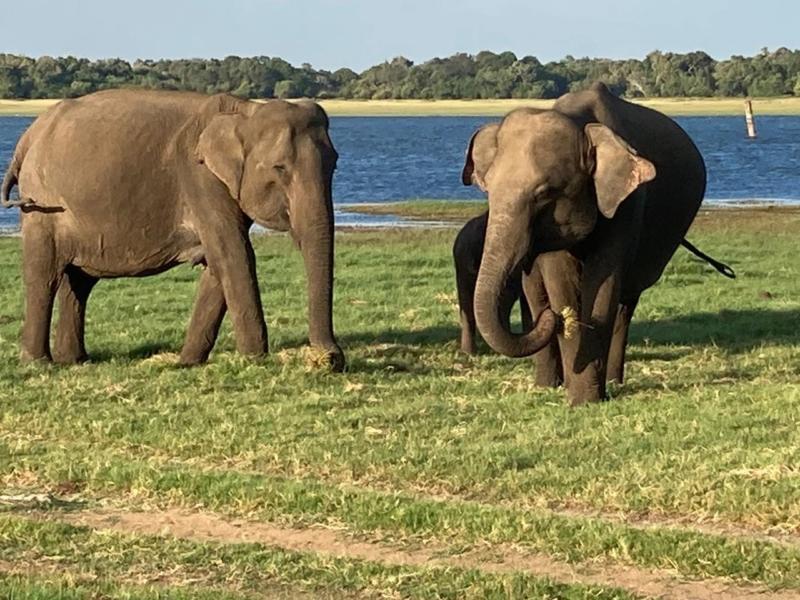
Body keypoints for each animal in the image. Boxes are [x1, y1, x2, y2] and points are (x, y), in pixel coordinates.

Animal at [0, 89, 344, 370]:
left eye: (335, 165)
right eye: (279, 168)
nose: (330, 359)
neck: (246, 111)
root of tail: (28, 137)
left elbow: (218, 261)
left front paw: (187, 362)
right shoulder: (199, 175)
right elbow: (234, 252)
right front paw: (255, 358)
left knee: (79, 281)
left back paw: (75, 360)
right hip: (43, 204)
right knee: (44, 274)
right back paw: (39, 363)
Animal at [462, 82, 732, 406]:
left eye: (545, 193)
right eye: (487, 189)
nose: (554, 319)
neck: (581, 125)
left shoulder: (627, 203)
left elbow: (603, 284)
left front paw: (585, 399)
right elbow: (560, 282)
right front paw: (578, 392)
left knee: (625, 306)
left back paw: (612, 380)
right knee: (535, 293)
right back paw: (548, 383)